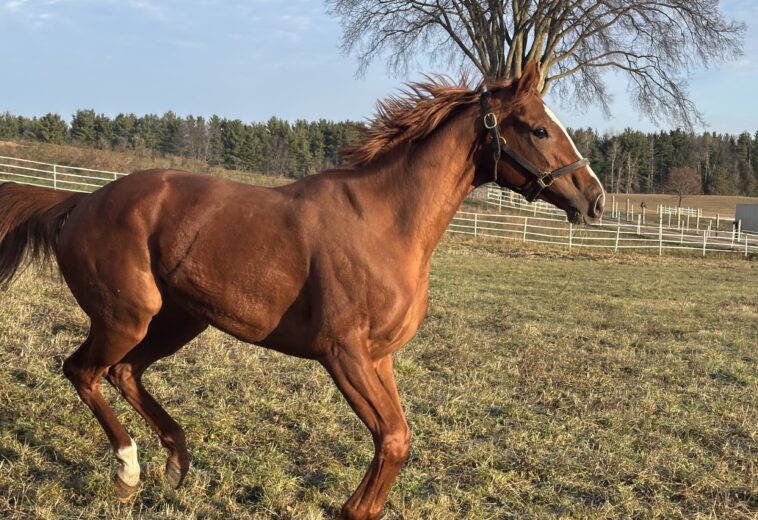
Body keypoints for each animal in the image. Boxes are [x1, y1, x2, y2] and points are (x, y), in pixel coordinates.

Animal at [0, 61, 604, 520]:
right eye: (539, 129)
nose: (594, 198)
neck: (385, 222)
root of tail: (80, 201)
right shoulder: (343, 354)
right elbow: (394, 439)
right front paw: (352, 510)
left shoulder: (379, 358)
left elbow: (399, 437)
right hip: (127, 316)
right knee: (83, 370)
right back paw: (128, 471)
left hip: (178, 320)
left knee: (123, 372)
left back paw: (176, 462)